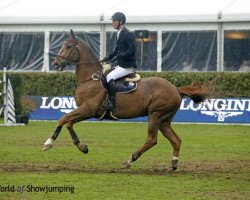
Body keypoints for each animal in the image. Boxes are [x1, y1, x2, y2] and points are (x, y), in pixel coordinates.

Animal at [43, 29, 206, 170]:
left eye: (68, 46)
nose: (55, 64)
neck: (90, 79)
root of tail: (176, 89)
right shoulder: (86, 111)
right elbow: (69, 123)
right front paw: (82, 147)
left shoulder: (88, 109)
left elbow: (63, 119)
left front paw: (48, 142)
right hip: (164, 120)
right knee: (176, 140)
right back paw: (174, 163)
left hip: (155, 115)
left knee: (152, 140)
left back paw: (129, 160)